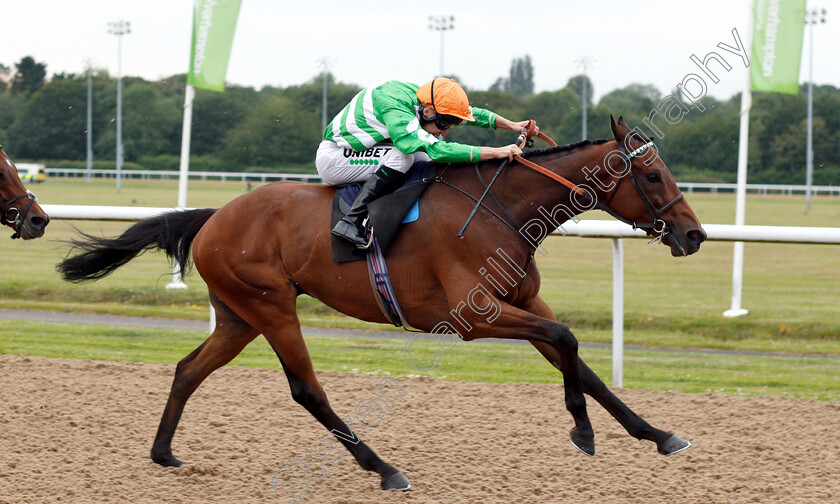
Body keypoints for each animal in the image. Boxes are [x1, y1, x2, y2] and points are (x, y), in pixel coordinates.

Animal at [55, 117, 704, 492]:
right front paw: (583, 432)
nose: (694, 234)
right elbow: (568, 340)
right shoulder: (475, 315)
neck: (505, 211)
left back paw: (164, 453)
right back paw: (385, 469)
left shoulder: (523, 302)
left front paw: (657, 433)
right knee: (306, 389)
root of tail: (216, 216)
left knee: (189, 368)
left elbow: (580, 360)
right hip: (270, 305)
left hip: (239, 315)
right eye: (651, 175)